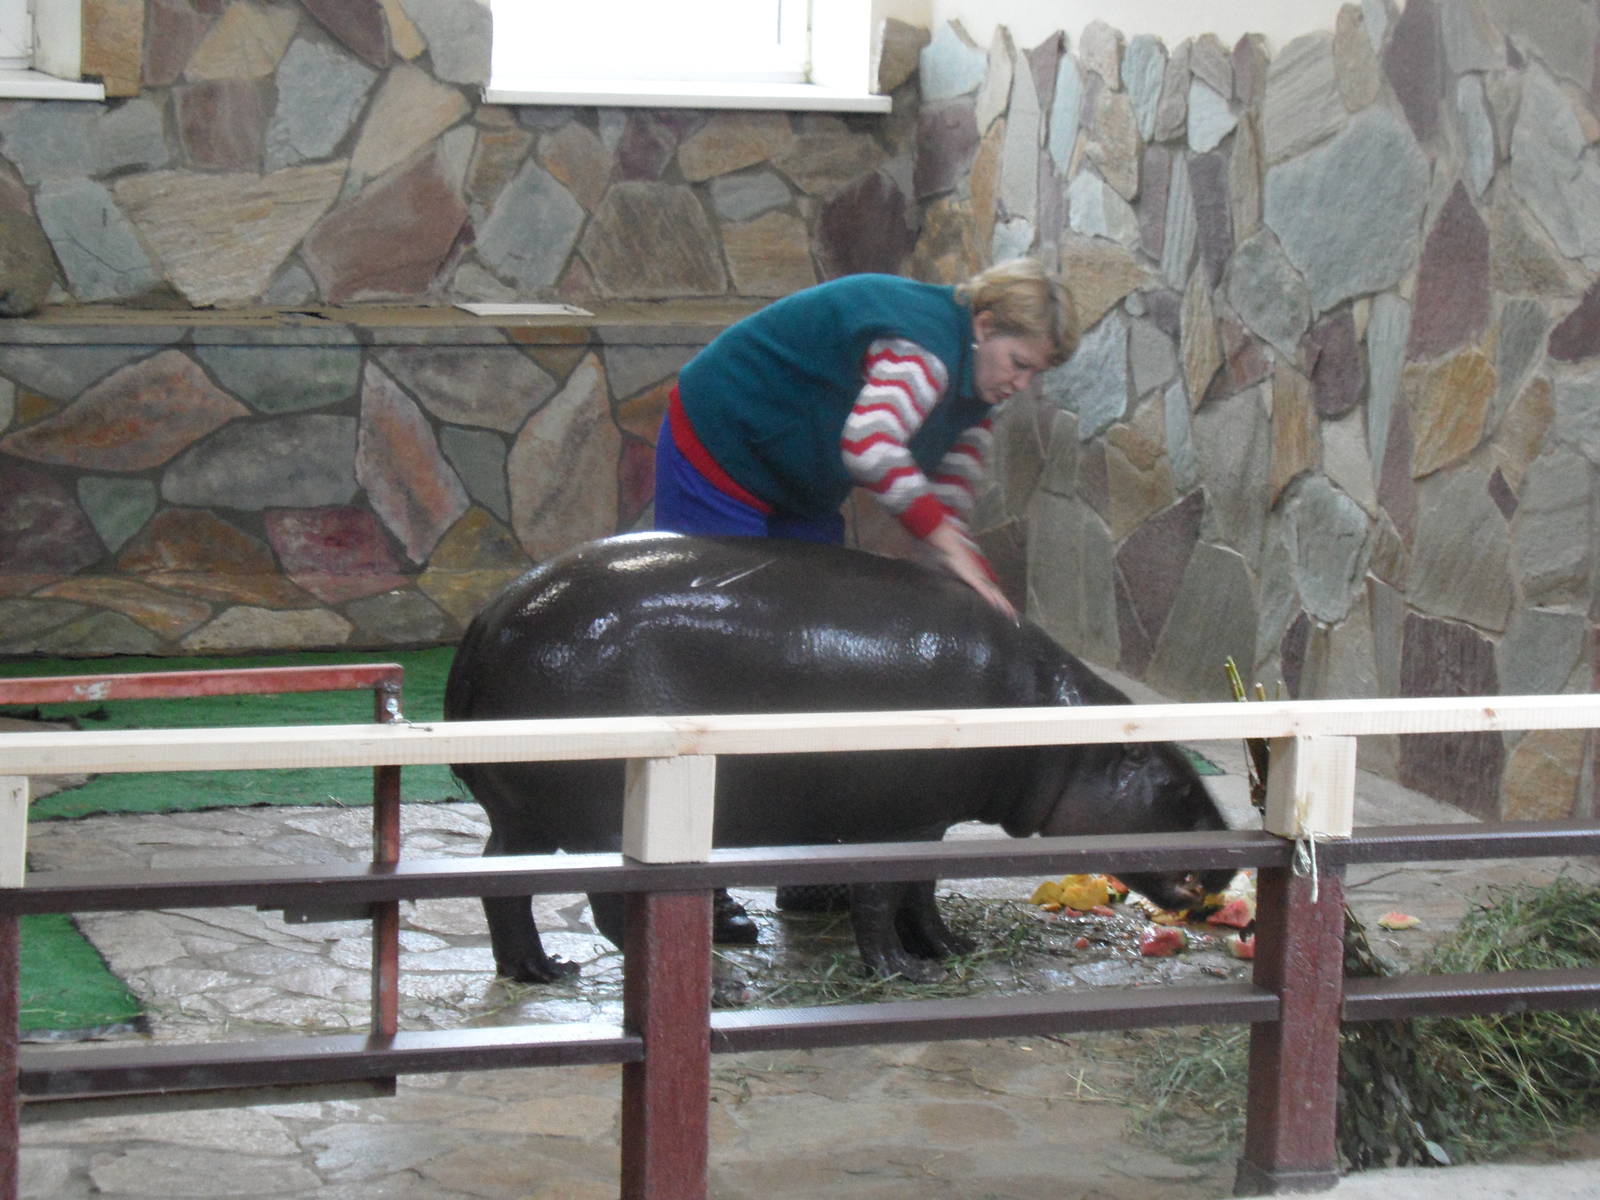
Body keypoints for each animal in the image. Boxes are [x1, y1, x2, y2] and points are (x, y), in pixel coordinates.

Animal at [444, 533, 1233, 983]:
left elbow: (923, 894)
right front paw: (901, 973)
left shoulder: (927, 821)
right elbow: (883, 898)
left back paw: (542, 970)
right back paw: (716, 984)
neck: (1059, 732)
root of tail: (485, 625)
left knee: (500, 884)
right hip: (608, 819)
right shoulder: (898, 821)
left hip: (521, 814)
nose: (1229, 855)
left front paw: (951, 950)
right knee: (614, 909)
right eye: (1178, 785)